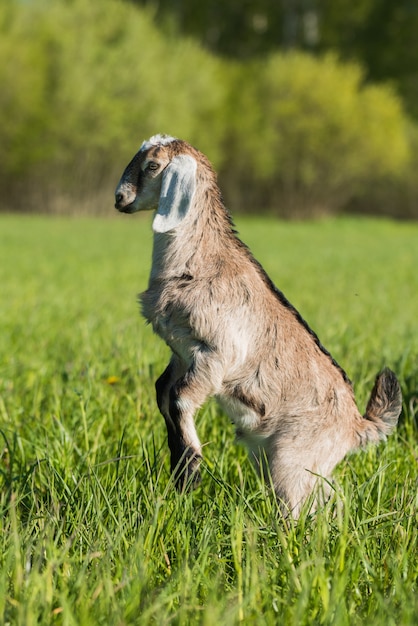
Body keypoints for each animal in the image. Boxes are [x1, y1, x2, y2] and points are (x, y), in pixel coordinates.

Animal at [114, 134, 402, 516]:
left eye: (152, 166)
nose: (119, 199)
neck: (202, 260)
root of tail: (356, 425)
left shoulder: (218, 354)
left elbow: (180, 399)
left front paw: (191, 471)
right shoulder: (181, 352)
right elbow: (163, 390)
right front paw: (179, 467)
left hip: (291, 460)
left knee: (300, 504)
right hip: (288, 461)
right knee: (330, 495)